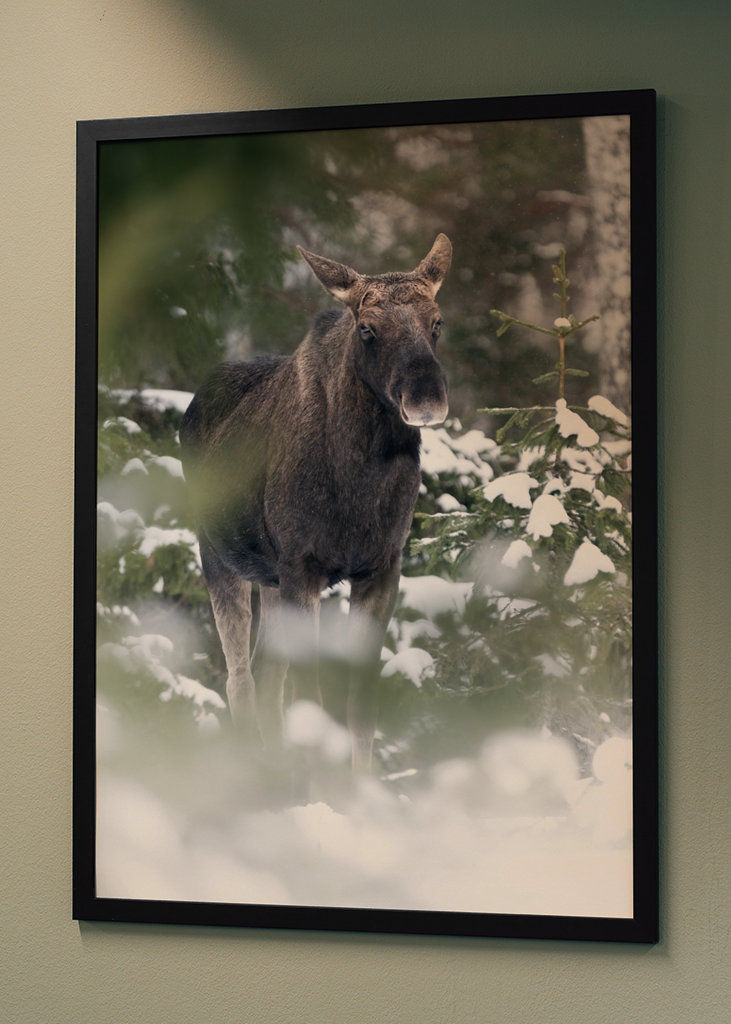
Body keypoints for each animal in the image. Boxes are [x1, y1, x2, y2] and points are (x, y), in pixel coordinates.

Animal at [179, 234, 452, 772]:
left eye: (437, 322)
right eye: (367, 328)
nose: (426, 400)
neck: (361, 483)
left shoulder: (381, 566)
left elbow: (359, 705)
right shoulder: (302, 565)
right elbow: (311, 698)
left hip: (271, 579)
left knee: (266, 675)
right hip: (219, 555)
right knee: (240, 679)